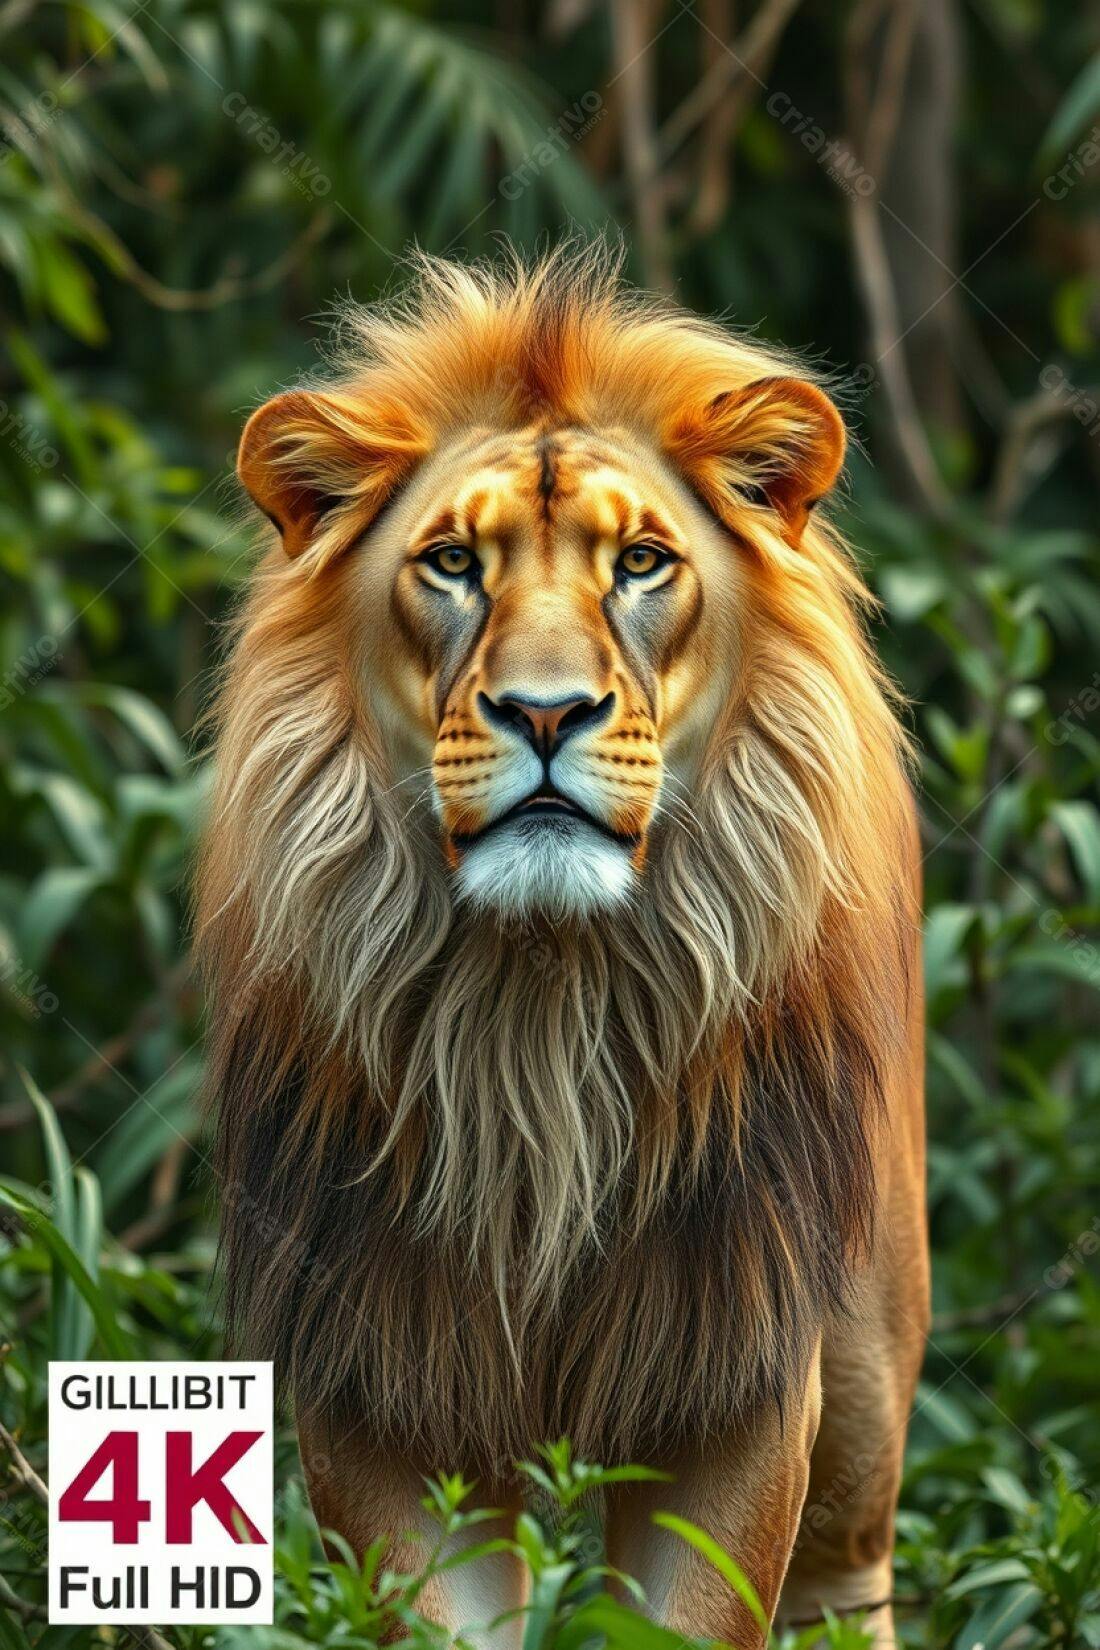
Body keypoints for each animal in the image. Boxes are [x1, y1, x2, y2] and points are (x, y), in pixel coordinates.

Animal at [197, 246, 929, 1648]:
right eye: (449, 563)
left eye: (640, 562)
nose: (545, 713)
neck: (539, 1010)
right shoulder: (379, 1378)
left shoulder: (737, 1377)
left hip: (865, 1384)